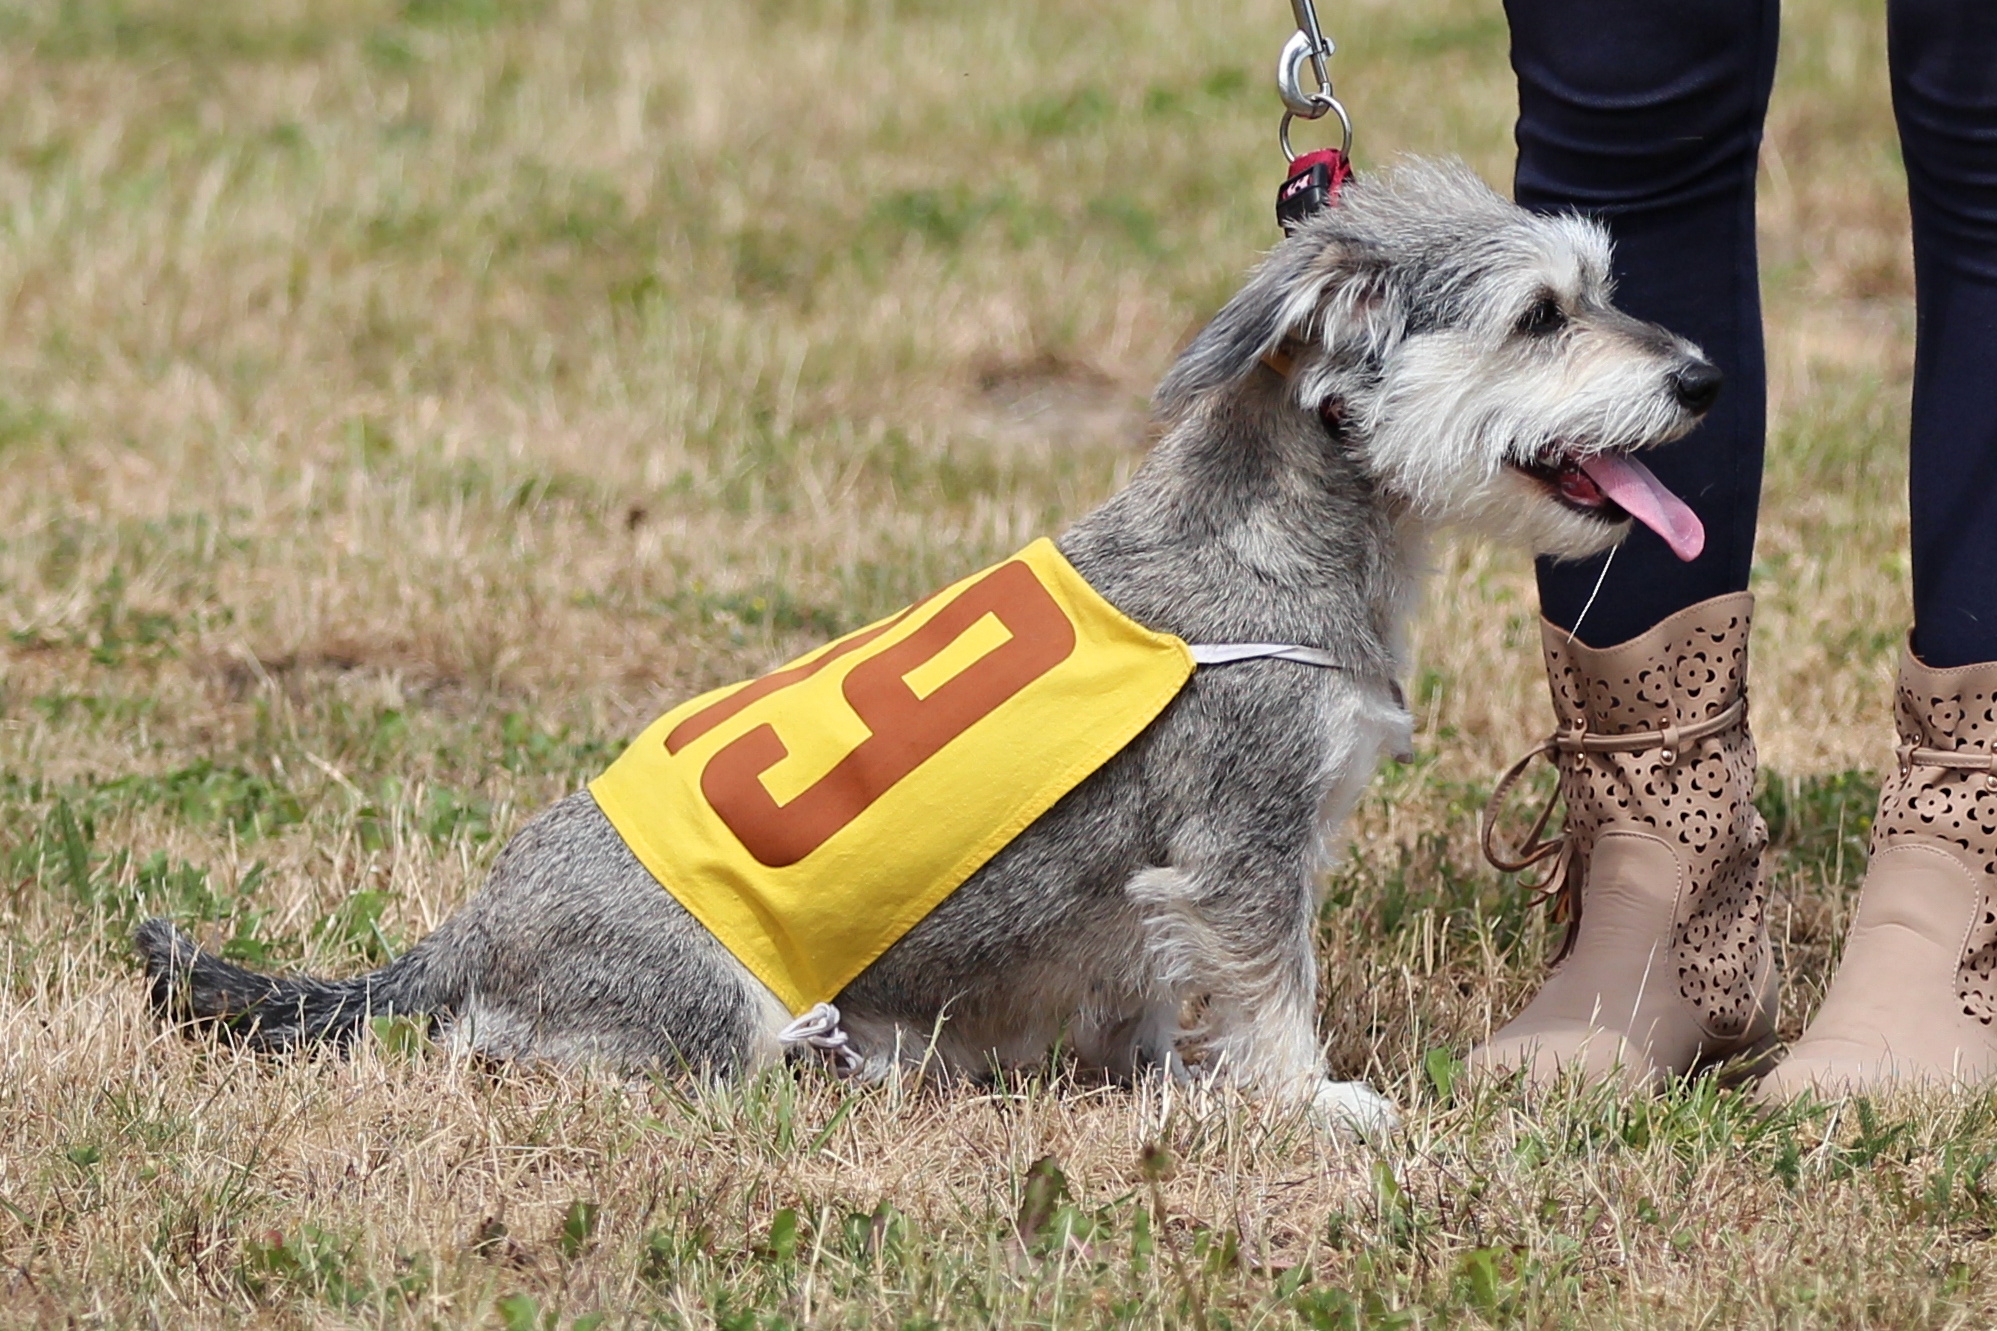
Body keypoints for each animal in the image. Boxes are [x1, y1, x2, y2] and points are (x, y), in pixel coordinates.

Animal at [132, 157, 1717, 1127]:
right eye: (1539, 315)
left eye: (1595, 288)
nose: (1702, 376)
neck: (1262, 542)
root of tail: (464, 936)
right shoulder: (1240, 846)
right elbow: (1270, 992)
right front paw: (1308, 1104)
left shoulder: (1171, 897)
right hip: (718, 1021)